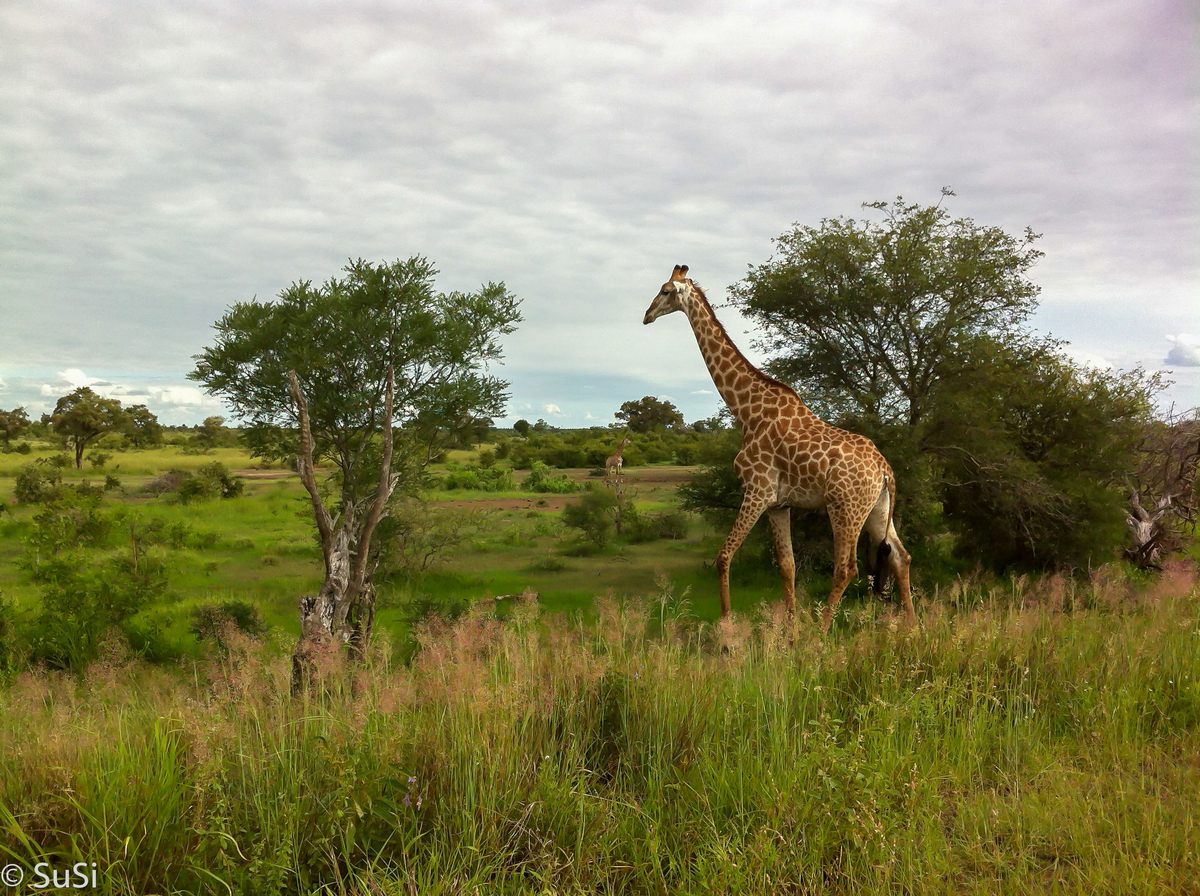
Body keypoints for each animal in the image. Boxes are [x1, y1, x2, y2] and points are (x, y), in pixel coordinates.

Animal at [643, 262, 912, 633]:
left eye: (666, 290)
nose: (646, 316)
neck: (746, 410)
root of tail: (885, 470)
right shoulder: (778, 504)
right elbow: (788, 567)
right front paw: (790, 632)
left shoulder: (757, 491)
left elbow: (723, 556)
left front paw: (727, 629)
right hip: (877, 508)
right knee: (901, 557)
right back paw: (915, 628)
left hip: (845, 507)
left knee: (847, 568)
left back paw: (821, 633)